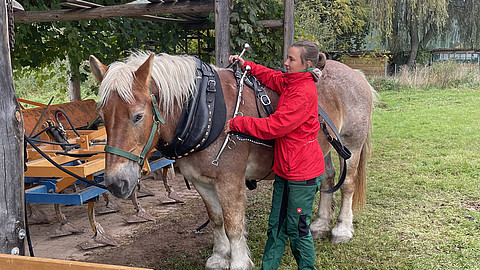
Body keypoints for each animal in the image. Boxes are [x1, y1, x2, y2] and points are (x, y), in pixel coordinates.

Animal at [89, 51, 376, 270]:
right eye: (102, 116)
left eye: (138, 116)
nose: (115, 183)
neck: (204, 110)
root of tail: (356, 74)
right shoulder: (202, 182)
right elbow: (217, 220)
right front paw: (219, 257)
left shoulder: (230, 181)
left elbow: (234, 224)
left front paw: (238, 262)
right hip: (322, 148)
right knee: (327, 179)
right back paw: (319, 224)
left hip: (352, 143)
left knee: (347, 185)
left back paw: (341, 229)